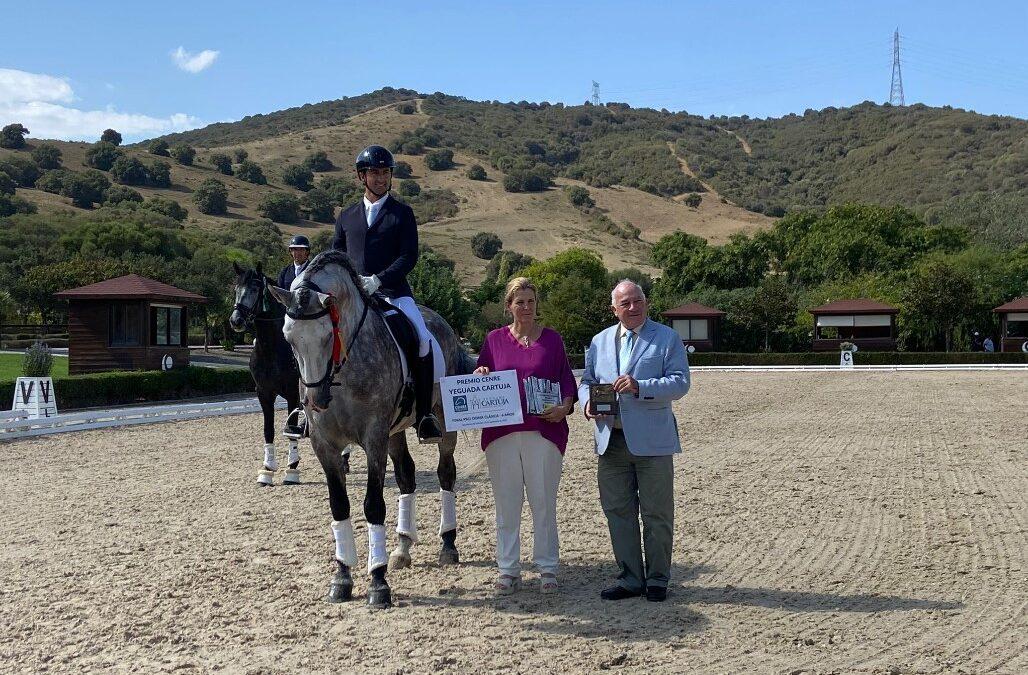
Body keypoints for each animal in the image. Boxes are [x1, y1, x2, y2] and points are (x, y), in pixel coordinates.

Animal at [228, 260, 300, 486]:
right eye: (236, 289)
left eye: (254, 289)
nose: (236, 320)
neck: (272, 348)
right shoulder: (264, 393)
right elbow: (268, 430)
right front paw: (267, 470)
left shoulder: (293, 394)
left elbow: (291, 429)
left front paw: (292, 470)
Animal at [267, 249, 470, 608]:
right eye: (289, 338)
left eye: (327, 335)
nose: (316, 400)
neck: (342, 372)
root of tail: (443, 324)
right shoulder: (325, 444)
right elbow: (340, 506)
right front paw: (342, 578)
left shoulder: (374, 437)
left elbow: (373, 505)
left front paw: (378, 581)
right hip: (396, 432)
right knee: (406, 476)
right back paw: (402, 548)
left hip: (442, 421)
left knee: (446, 473)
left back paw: (447, 544)